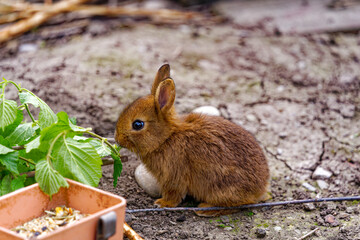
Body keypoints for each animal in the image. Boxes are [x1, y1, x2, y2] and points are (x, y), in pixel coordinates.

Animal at [115, 64, 270, 217]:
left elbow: (173, 194)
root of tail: (261, 188)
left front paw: (162, 203)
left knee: (239, 204)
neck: (166, 138)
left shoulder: (174, 176)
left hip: (223, 186)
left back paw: (204, 209)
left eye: (138, 124)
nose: (118, 139)